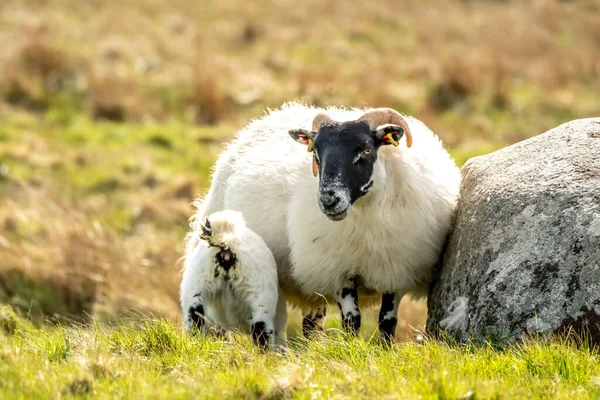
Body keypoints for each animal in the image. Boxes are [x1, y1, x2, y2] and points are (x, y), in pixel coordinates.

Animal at [188, 101, 460, 342]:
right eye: (316, 151)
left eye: (365, 150)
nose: (329, 199)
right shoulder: (337, 270)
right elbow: (352, 320)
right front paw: (353, 351)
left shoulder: (396, 271)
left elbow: (387, 322)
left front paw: (385, 350)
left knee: (310, 324)